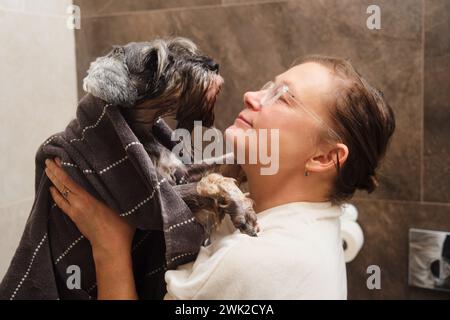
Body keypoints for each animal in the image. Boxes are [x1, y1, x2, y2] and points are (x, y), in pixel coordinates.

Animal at [82, 37, 258, 238]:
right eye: (153, 62)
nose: (213, 65)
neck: (144, 134)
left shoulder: (182, 171)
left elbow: (224, 165)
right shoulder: (162, 201)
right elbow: (211, 181)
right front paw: (242, 210)